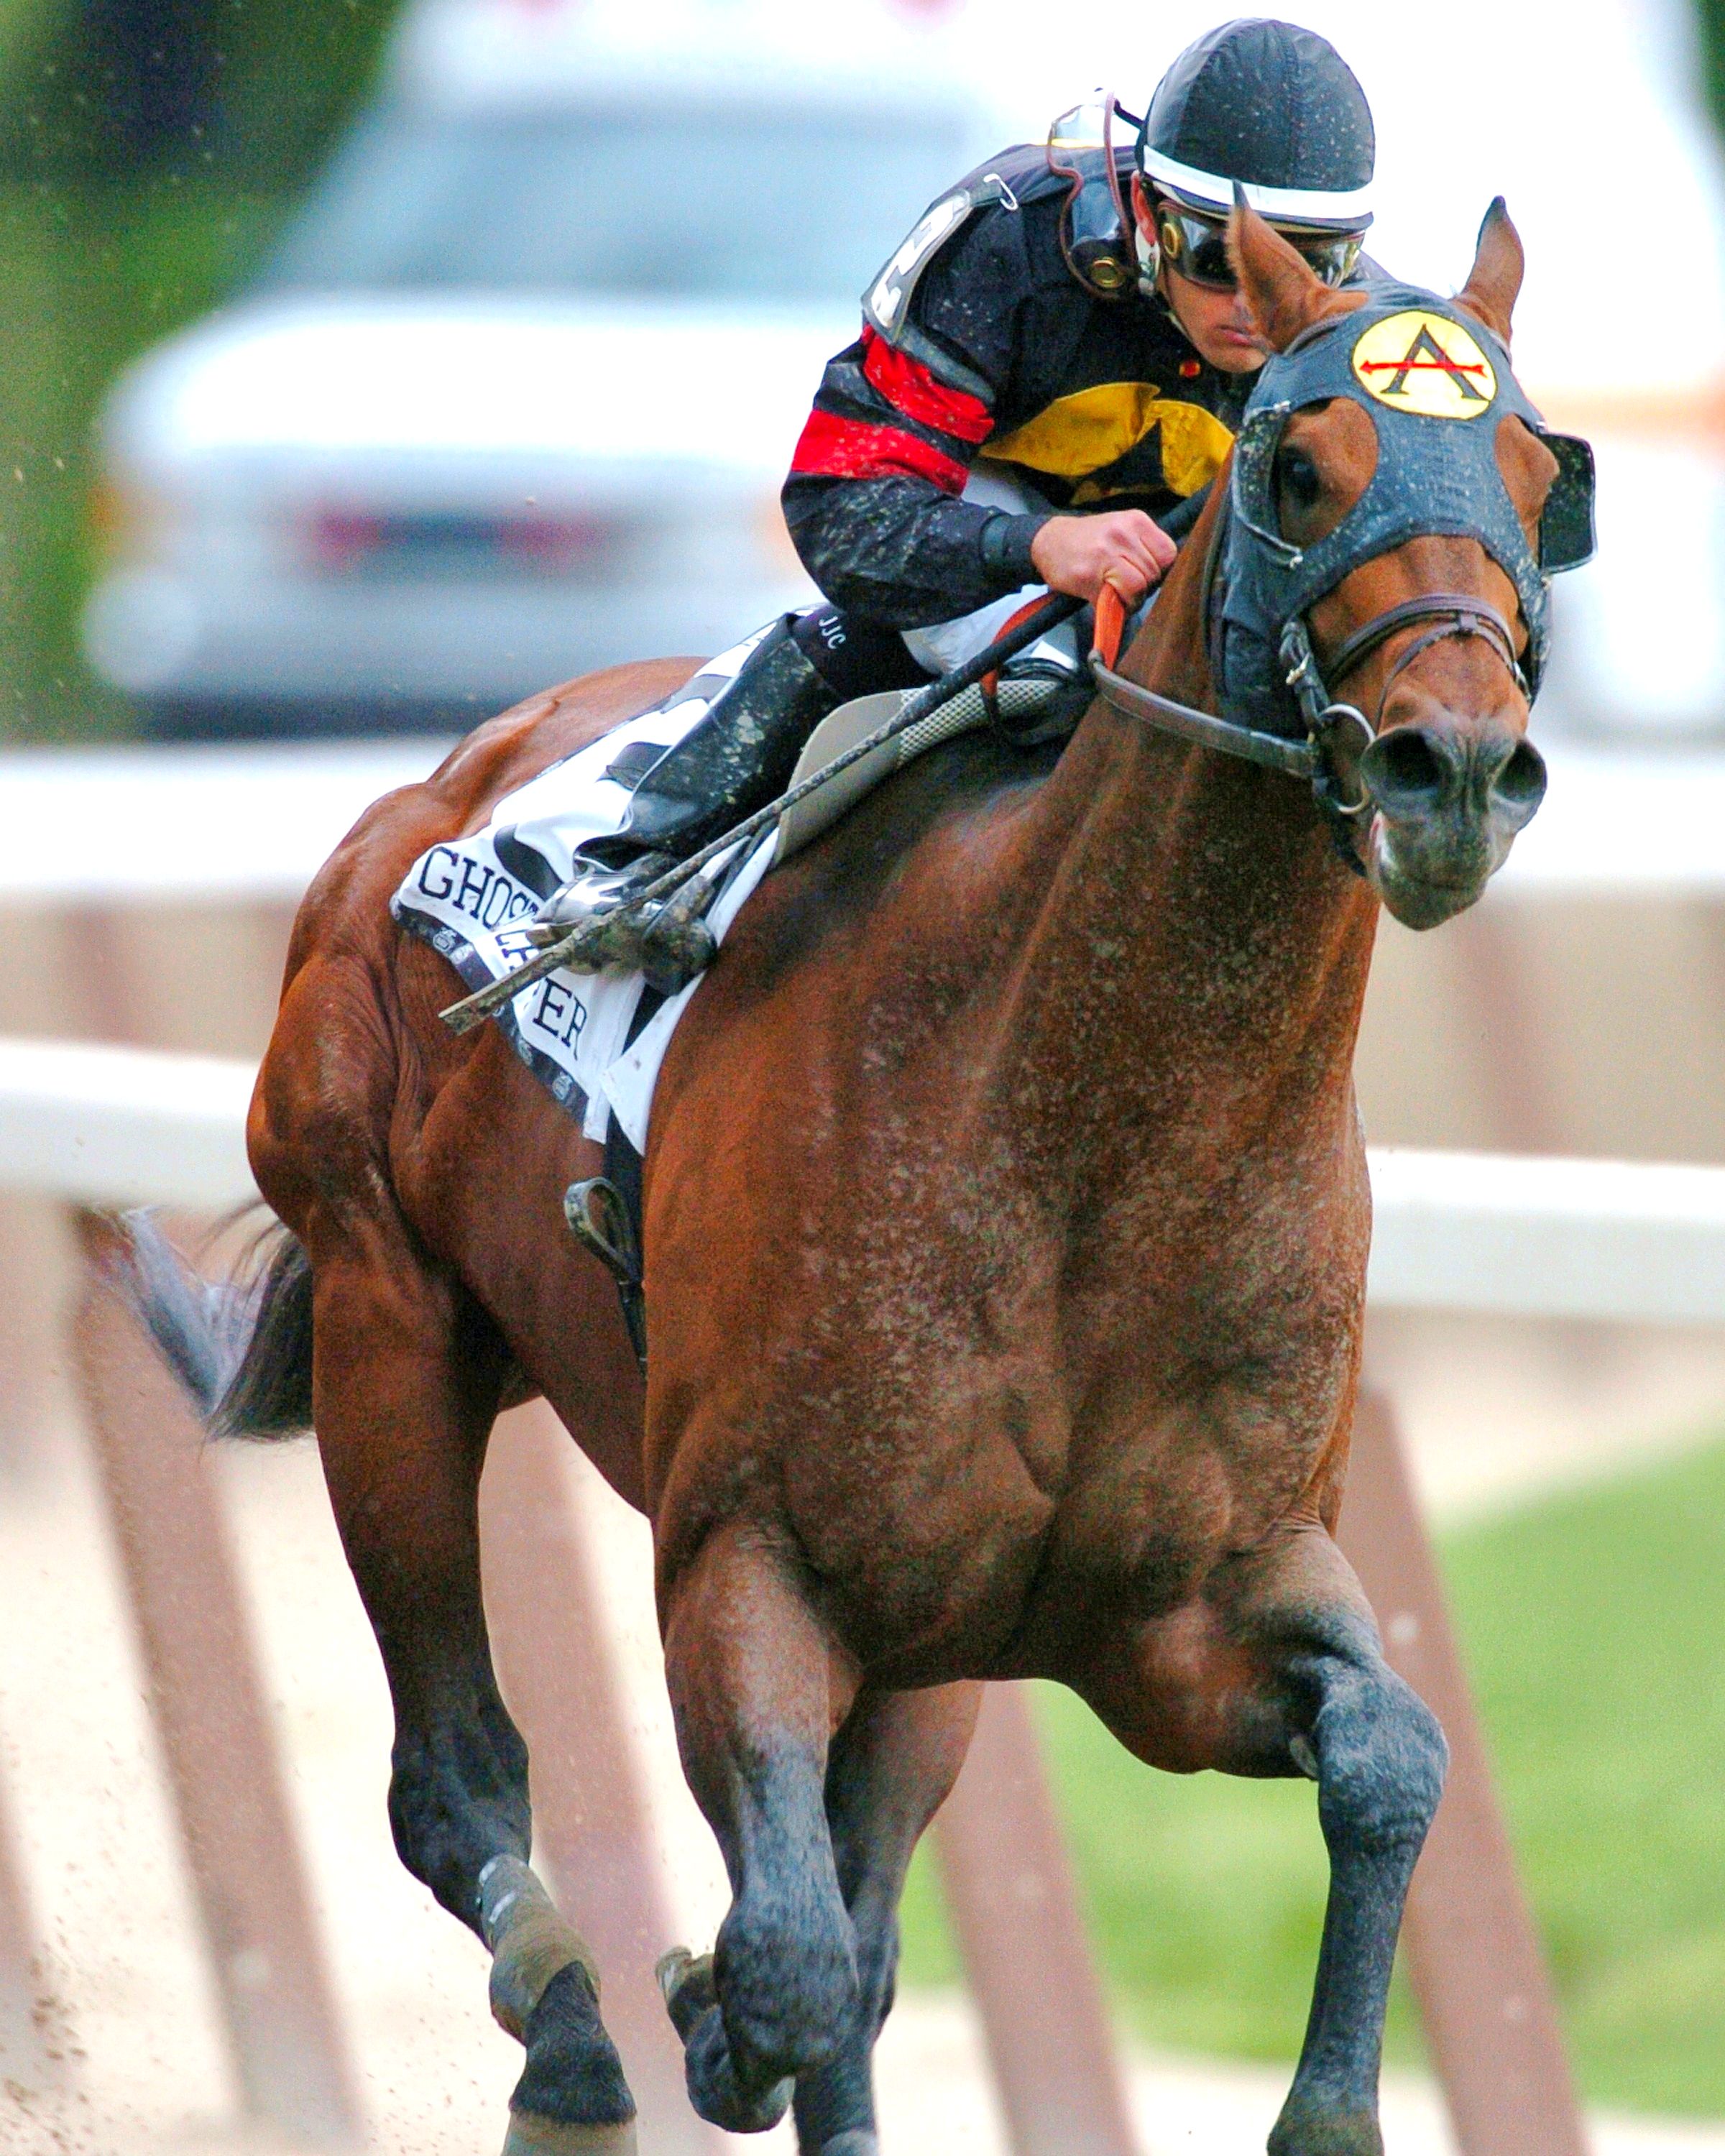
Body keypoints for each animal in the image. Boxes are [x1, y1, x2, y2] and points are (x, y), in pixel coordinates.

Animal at [132, 206, 1561, 2156]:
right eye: (1296, 463)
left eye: (1542, 471)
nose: (1454, 770)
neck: (1095, 1149)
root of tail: (429, 790)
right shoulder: (749, 1558)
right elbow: (790, 1961)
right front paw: (696, 2011)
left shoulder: (1177, 1610)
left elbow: (1391, 1755)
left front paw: (1330, 2103)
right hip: (386, 1313)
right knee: (459, 1773)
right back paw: (569, 2035)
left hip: (929, 1647)